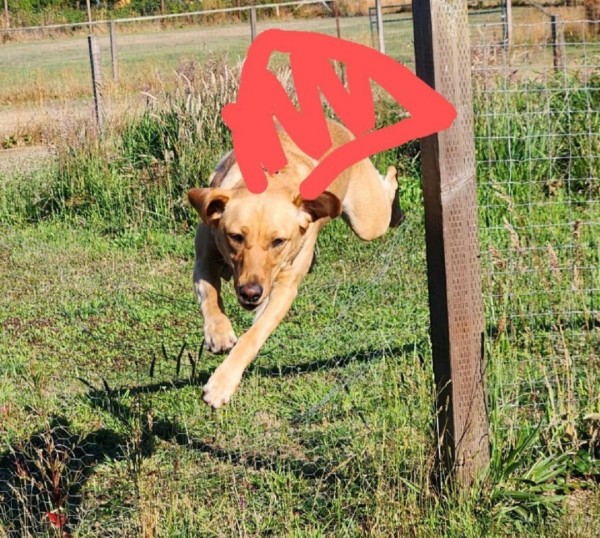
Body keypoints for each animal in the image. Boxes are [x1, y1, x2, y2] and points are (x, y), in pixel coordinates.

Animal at [188, 120, 398, 406]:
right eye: (236, 237)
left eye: (278, 241)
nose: (251, 293)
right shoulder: (204, 258)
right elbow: (209, 294)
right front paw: (218, 333)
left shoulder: (283, 289)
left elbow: (253, 335)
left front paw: (222, 383)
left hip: (368, 221)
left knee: (386, 189)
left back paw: (394, 185)